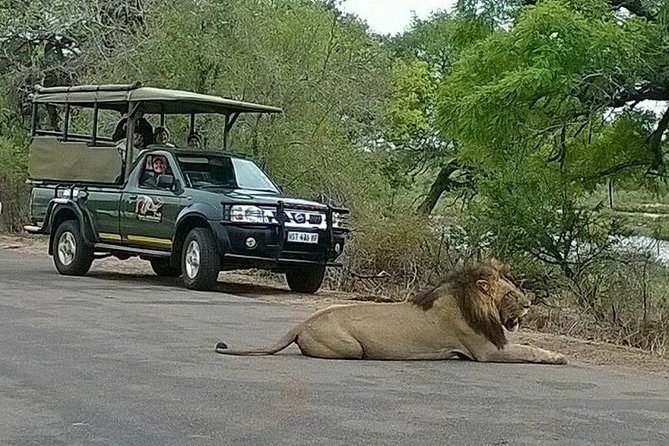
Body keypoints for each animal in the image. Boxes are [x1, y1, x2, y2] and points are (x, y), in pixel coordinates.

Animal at [214, 260, 564, 364]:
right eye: (512, 294)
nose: (529, 305)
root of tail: (302, 322)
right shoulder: (486, 352)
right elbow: (529, 350)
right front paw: (557, 357)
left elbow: (528, 345)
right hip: (351, 348)